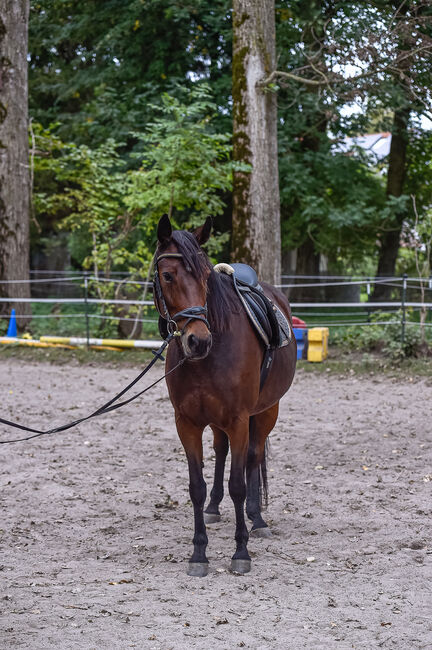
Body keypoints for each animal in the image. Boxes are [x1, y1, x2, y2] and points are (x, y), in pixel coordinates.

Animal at [153, 215, 296, 576]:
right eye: (167, 275)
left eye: (206, 277)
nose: (198, 341)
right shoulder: (187, 423)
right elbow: (196, 486)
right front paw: (199, 553)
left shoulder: (239, 419)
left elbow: (238, 484)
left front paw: (241, 552)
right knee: (221, 452)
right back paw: (215, 508)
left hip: (266, 411)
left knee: (253, 457)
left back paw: (256, 519)